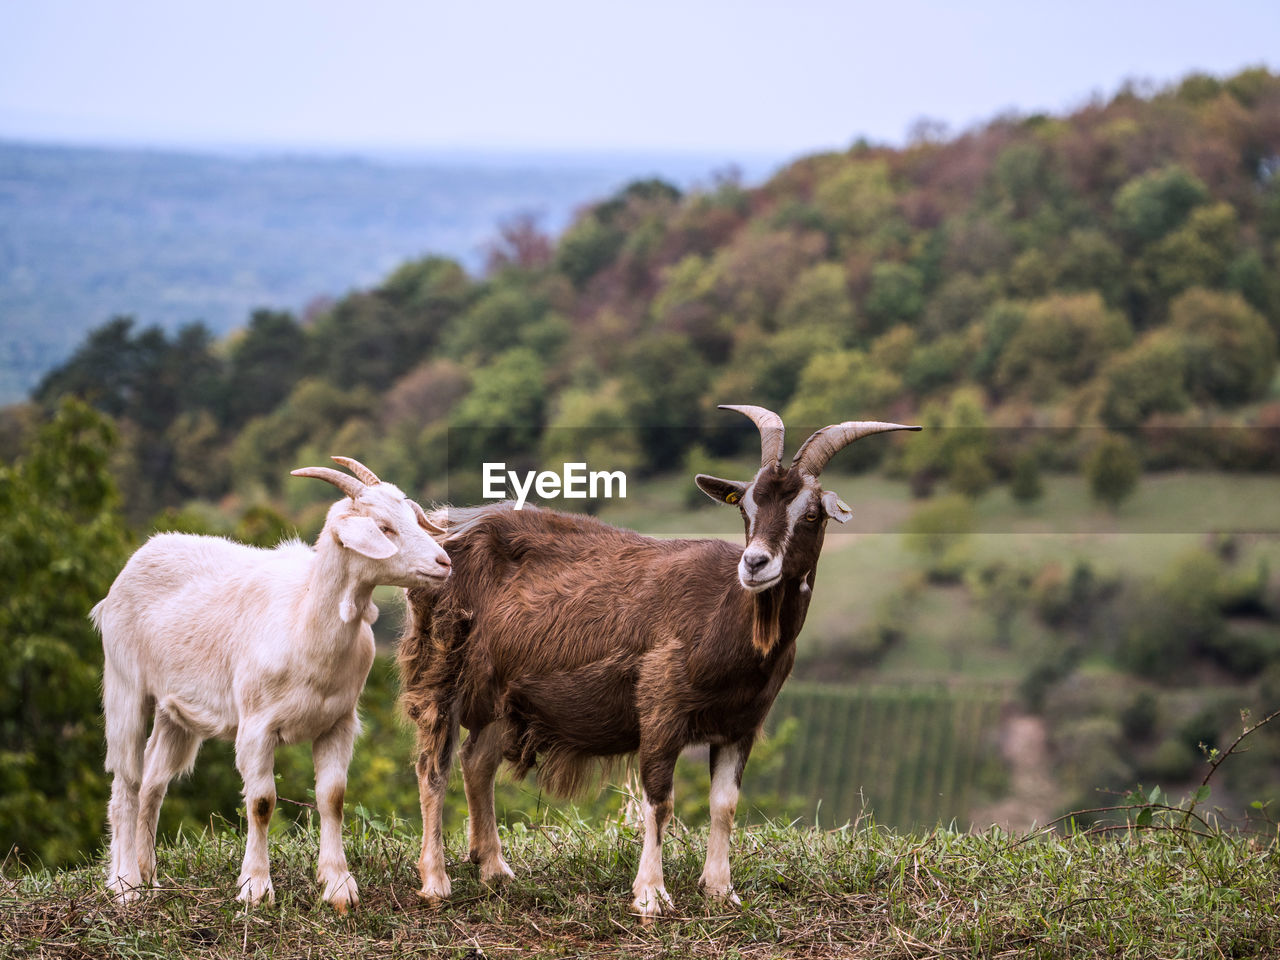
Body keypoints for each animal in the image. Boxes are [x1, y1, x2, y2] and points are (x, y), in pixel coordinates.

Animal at [91, 458, 450, 911]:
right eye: (384, 527)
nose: (444, 563)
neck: (304, 621)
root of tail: (137, 559)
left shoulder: (338, 723)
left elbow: (332, 798)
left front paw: (338, 885)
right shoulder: (256, 726)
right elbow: (262, 803)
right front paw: (255, 887)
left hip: (177, 713)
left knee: (153, 783)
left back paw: (150, 877)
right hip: (125, 685)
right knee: (127, 782)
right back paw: (125, 885)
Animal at [399, 407, 921, 916]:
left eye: (810, 513)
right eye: (746, 506)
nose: (755, 564)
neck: (725, 617)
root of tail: (448, 529)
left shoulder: (742, 723)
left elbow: (724, 804)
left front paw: (721, 890)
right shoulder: (660, 705)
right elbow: (659, 799)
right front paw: (650, 895)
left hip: (501, 695)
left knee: (477, 761)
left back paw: (494, 869)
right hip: (441, 666)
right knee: (432, 766)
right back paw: (436, 881)